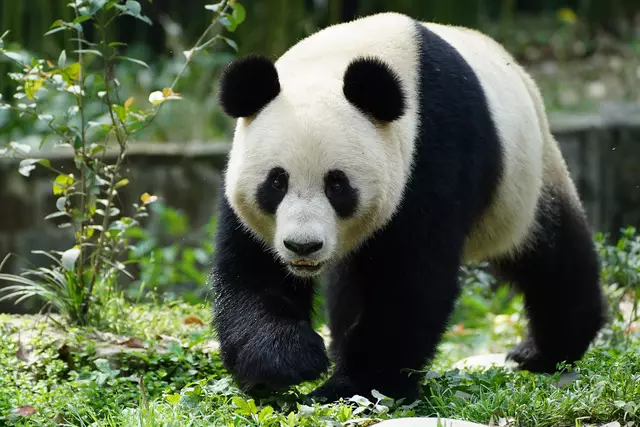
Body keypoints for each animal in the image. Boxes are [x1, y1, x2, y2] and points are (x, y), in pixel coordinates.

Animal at [211, 11, 607, 402]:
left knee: (552, 258)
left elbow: (411, 281)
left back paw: (545, 351)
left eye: (337, 184)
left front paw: (355, 385)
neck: (339, 60)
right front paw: (286, 361)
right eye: (277, 182)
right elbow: (251, 272)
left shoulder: (432, 148)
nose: (302, 247)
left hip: (526, 181)